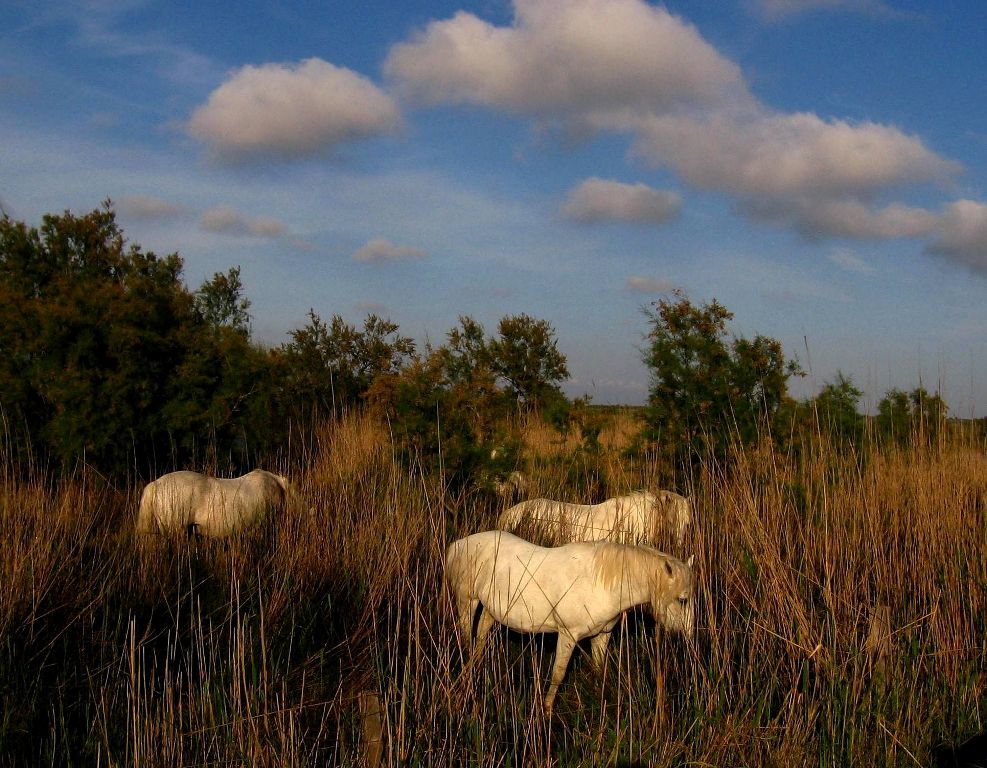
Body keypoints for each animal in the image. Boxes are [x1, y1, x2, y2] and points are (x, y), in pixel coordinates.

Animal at [448, 528, 696, 712]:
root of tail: (459, 543)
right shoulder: (567, 635)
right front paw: (546, 710)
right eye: (682, 600)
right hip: (467, 602)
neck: (600, 583)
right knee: (466, 635)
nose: (688, 635)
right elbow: (558, 673)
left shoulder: (602, 635)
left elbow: (598, 668)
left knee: (480, 637)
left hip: (492, 609)